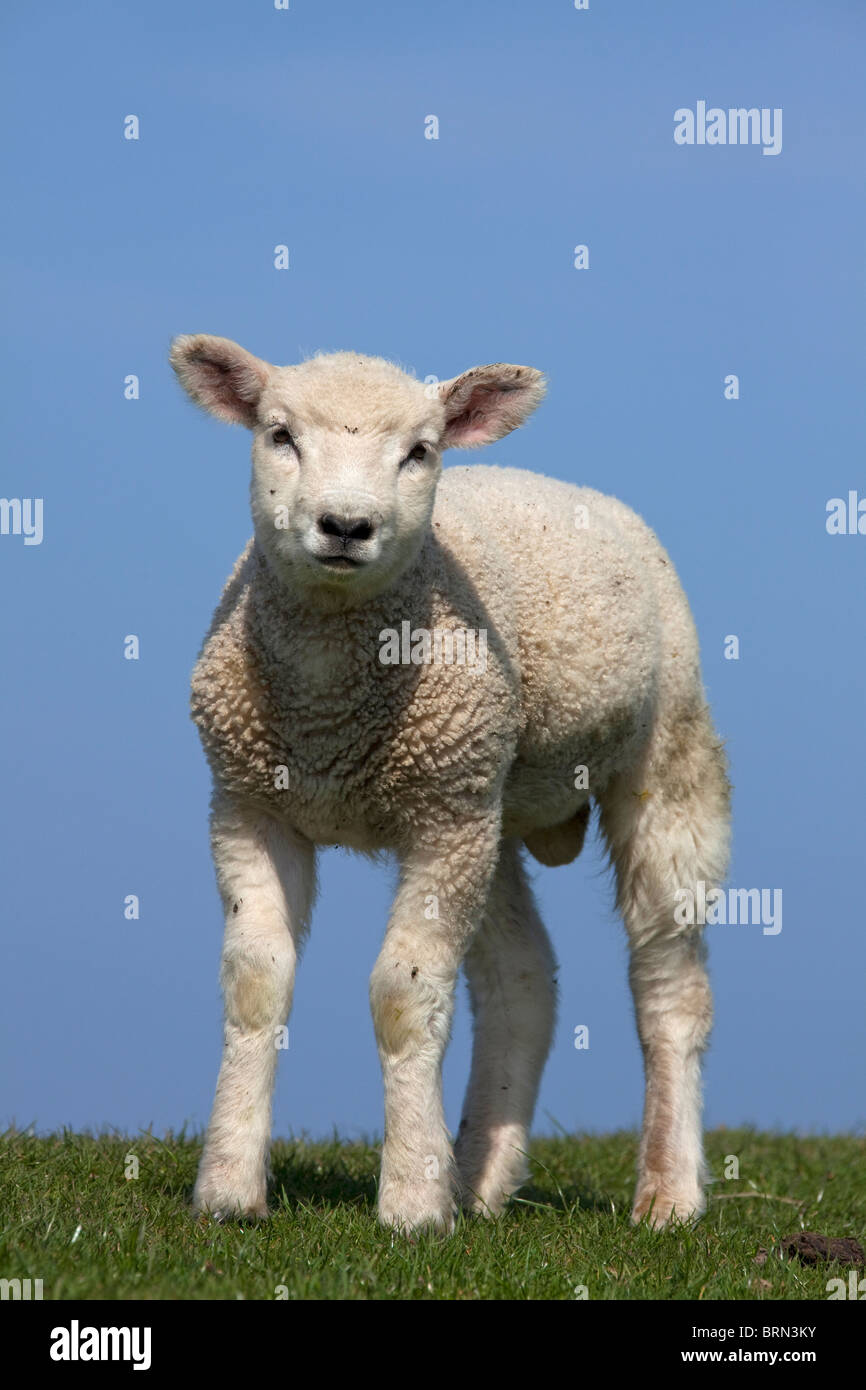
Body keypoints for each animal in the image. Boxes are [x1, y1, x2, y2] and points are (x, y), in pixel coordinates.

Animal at [169, 330, 733, 1234]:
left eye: (421, 450)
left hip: (660, 756)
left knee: (670, 983)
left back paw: (668, 1194)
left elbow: (404, 995)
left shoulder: (441, 816)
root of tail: (568, 488)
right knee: (522, 982)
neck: (327, 710)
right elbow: (256, 982)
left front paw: (408, 1205)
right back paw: (476, 1179)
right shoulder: (249, 804)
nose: (346, 525)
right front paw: (228, 1190)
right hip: (487, 802)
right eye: (278, 434)